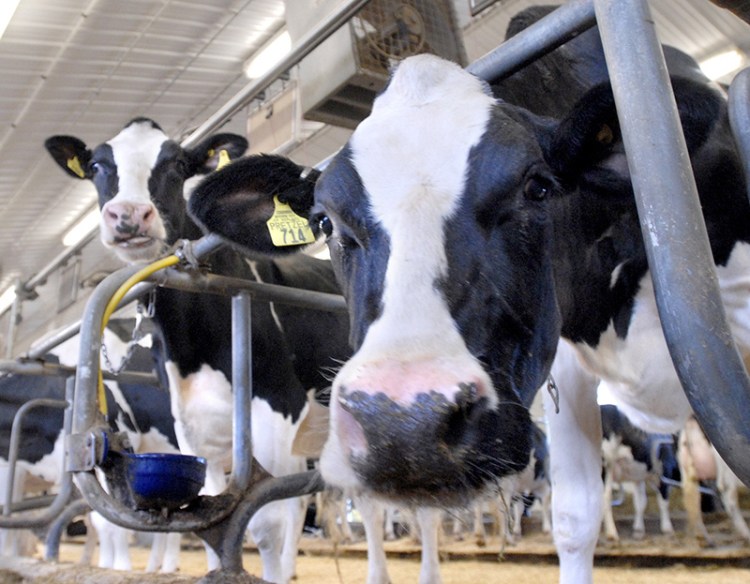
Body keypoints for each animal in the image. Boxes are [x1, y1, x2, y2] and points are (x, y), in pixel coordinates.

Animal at [45, 121, 354, 580]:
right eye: (98, 166)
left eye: (176, 164)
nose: (128, 215)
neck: (193, 345)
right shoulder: (192, 427)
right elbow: (210, 522)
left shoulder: (277, 405)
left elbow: (267, 523)